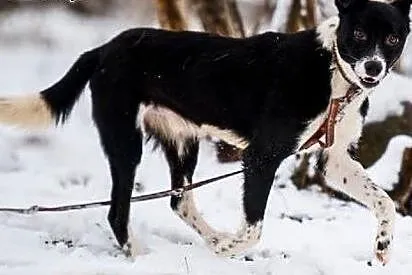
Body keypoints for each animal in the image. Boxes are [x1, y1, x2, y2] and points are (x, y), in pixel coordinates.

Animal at [0, 0, 410, 266]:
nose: (373, 67)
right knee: (118, 212)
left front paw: (383, 248)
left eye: (392, 39)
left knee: (179, 201)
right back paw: (142, 256)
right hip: (125, 142)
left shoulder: (335, 161)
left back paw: (211, 237)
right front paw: (228, 251)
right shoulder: (261, 157)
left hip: (183, 142)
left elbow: (384, 202)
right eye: (359, 33)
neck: (333, 72)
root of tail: (102, 49)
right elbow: (254, 228)